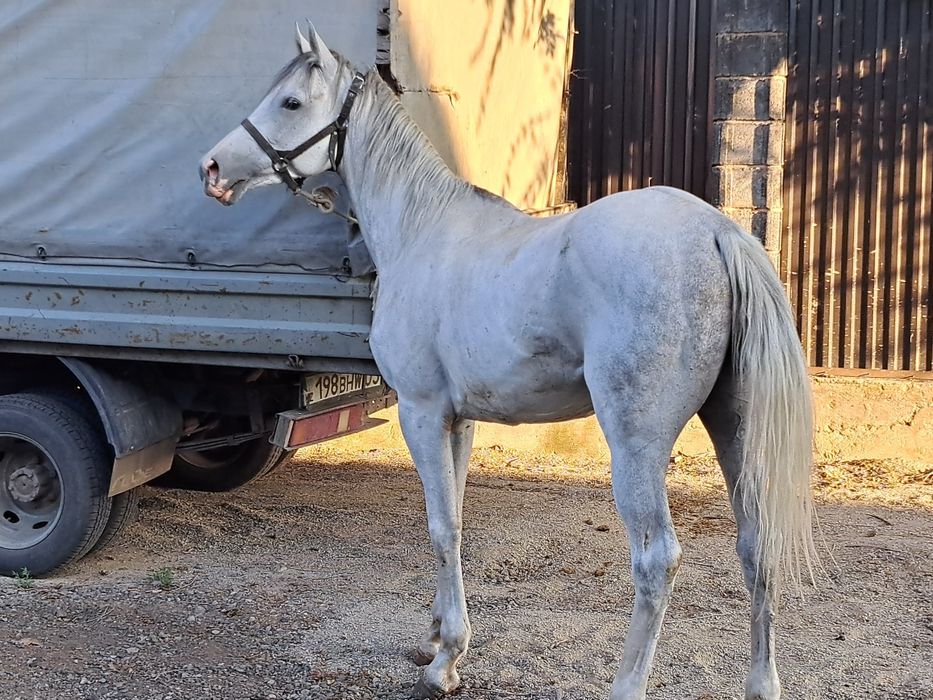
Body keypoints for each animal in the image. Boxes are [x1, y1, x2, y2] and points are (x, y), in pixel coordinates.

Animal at [199, 24, 818, 700]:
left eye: (290, 102)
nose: (212, 168)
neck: (423, 231)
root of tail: (716, 231)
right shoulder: (460, 420)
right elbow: (455, 520)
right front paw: (436, 640)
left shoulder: (422, 413)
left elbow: (441, 527)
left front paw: (446, 662)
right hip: (734, 426)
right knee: (757, 545)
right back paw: (761, 682)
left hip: (636, 446)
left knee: (656, 559)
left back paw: (627, 681)